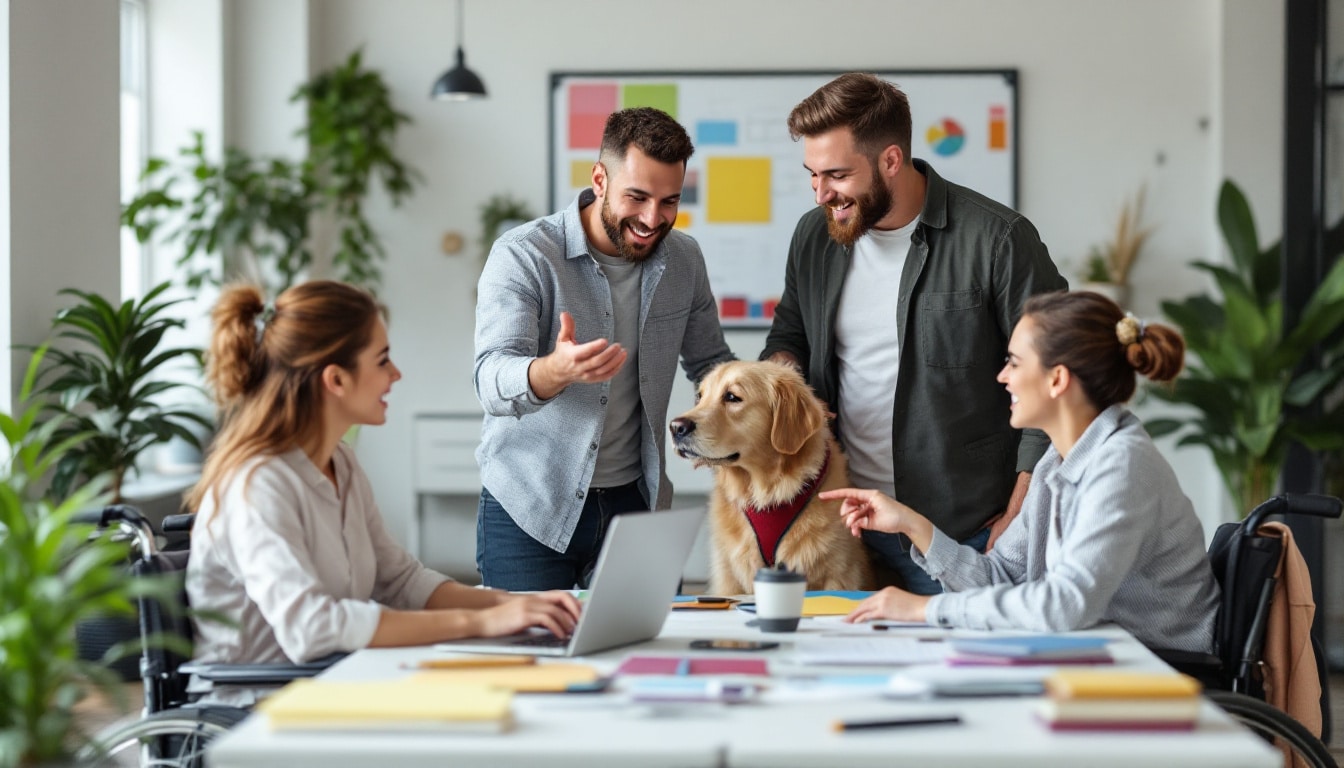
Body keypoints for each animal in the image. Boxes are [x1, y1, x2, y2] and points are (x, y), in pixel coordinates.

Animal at [669, 360, 870, 594]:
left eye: (732, 397)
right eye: (700, 397)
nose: (675, 427)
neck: (768, 494)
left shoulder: (838, 574)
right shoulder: (729, 577)